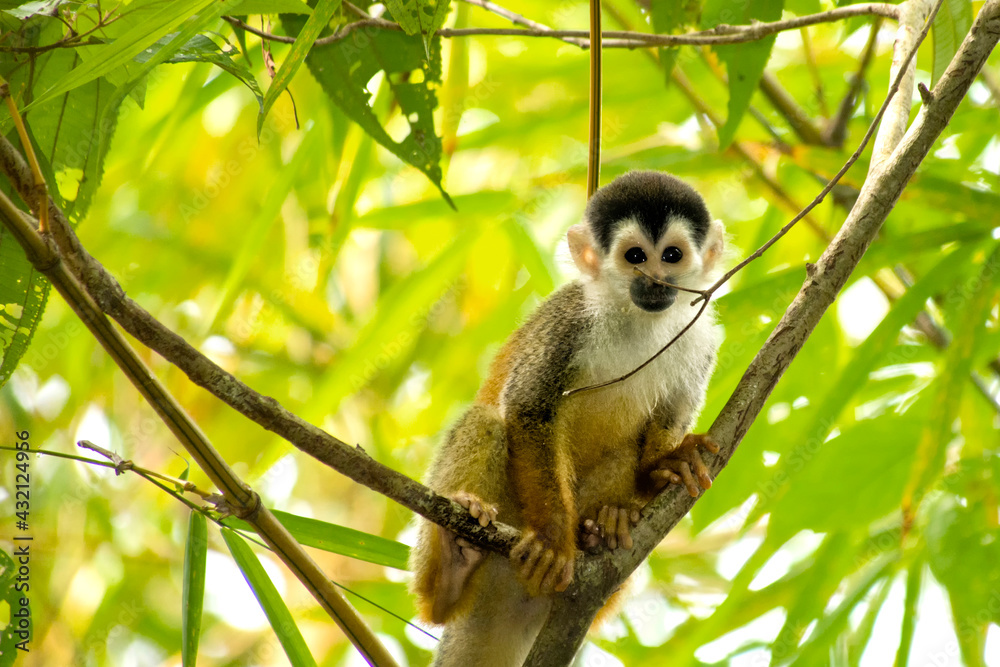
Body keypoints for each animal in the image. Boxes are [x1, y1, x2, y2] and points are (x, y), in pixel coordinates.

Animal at [409, 171, 726, 667]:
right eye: (635, 257)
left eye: (672, 255)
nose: (656, 280)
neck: (638, 319)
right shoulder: (568, 321)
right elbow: (528, 409)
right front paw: (555, 541)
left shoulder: (701, 339)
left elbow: (668, 422)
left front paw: (667, 464)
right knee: (487, 421)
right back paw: (451, 570)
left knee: (622, 455)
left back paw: (605, 528)